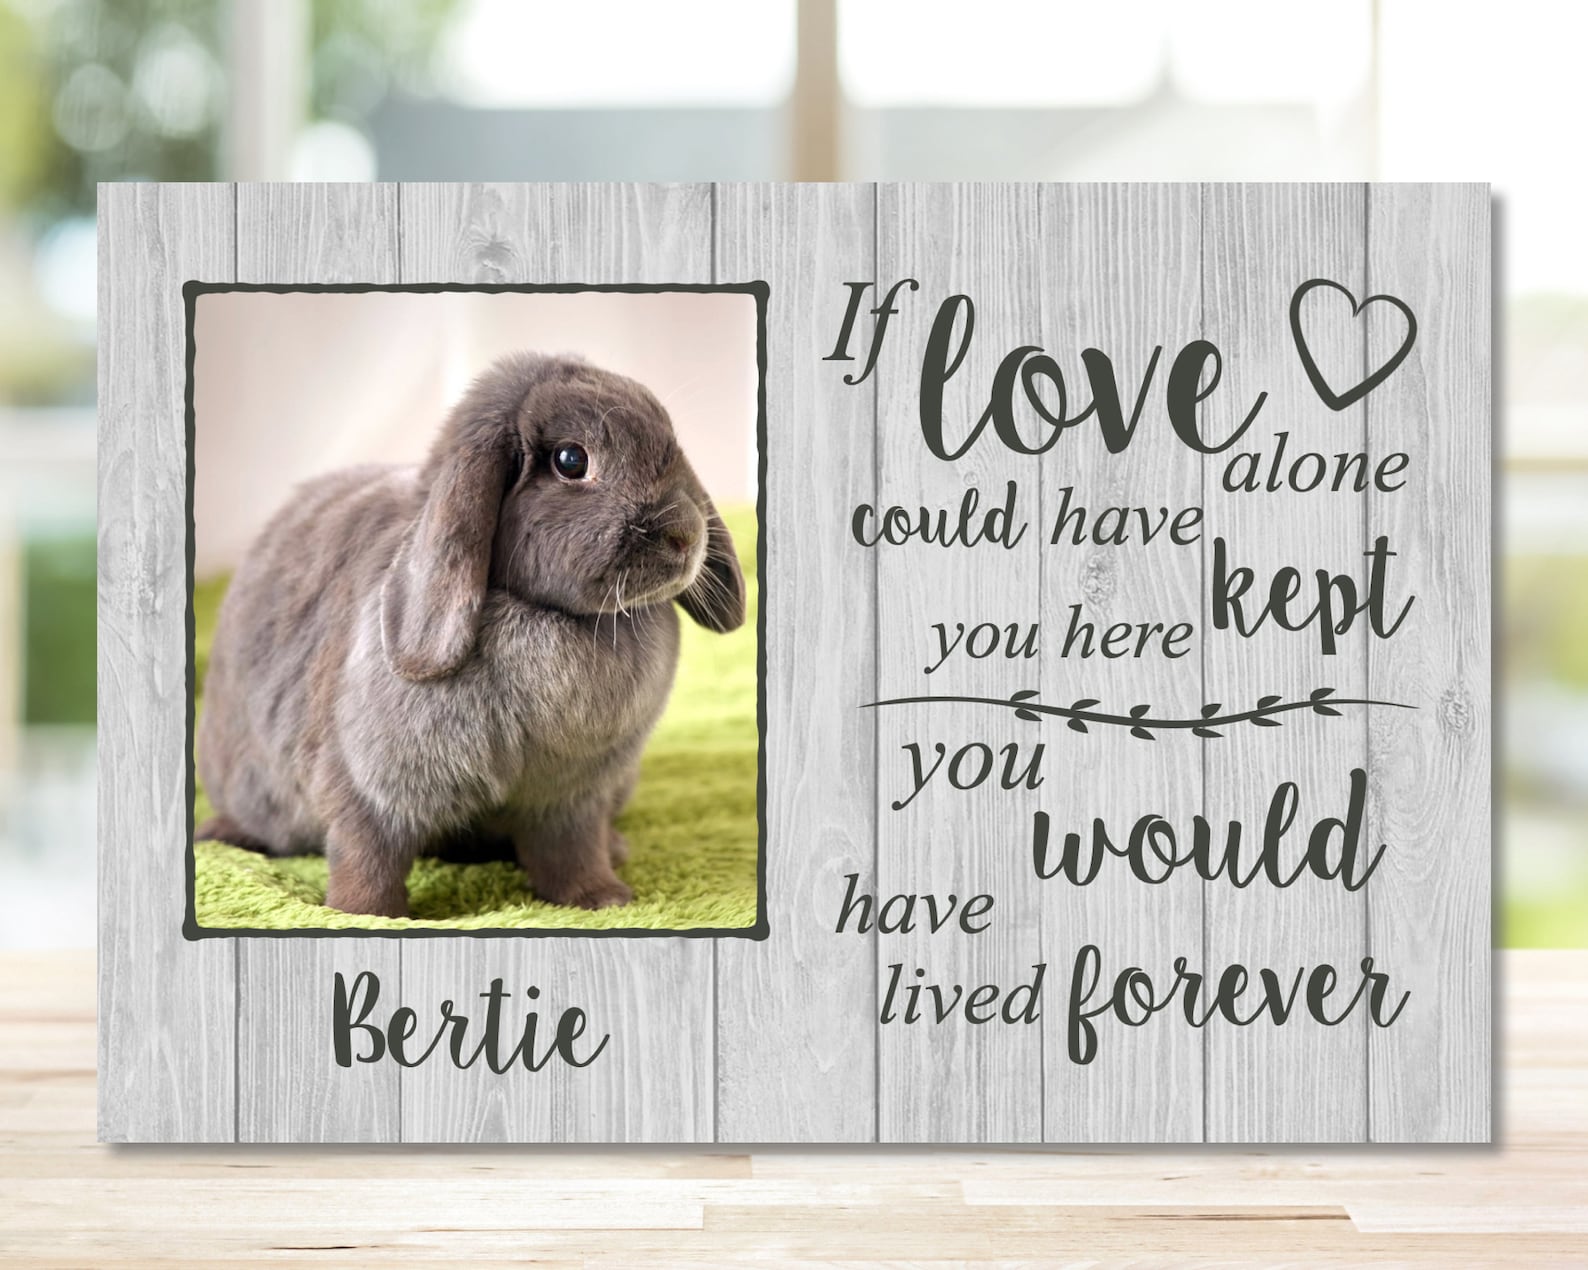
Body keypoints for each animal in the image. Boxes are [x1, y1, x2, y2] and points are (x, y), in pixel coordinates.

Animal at [196, 352, 746, 918]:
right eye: (572, 460)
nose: (685, 537)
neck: (552, 615)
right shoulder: (371, 790)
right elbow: (368, 854)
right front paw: (364, 914)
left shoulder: (571, 799)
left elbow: (571, 853)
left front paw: (602, 899)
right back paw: (222, 833)